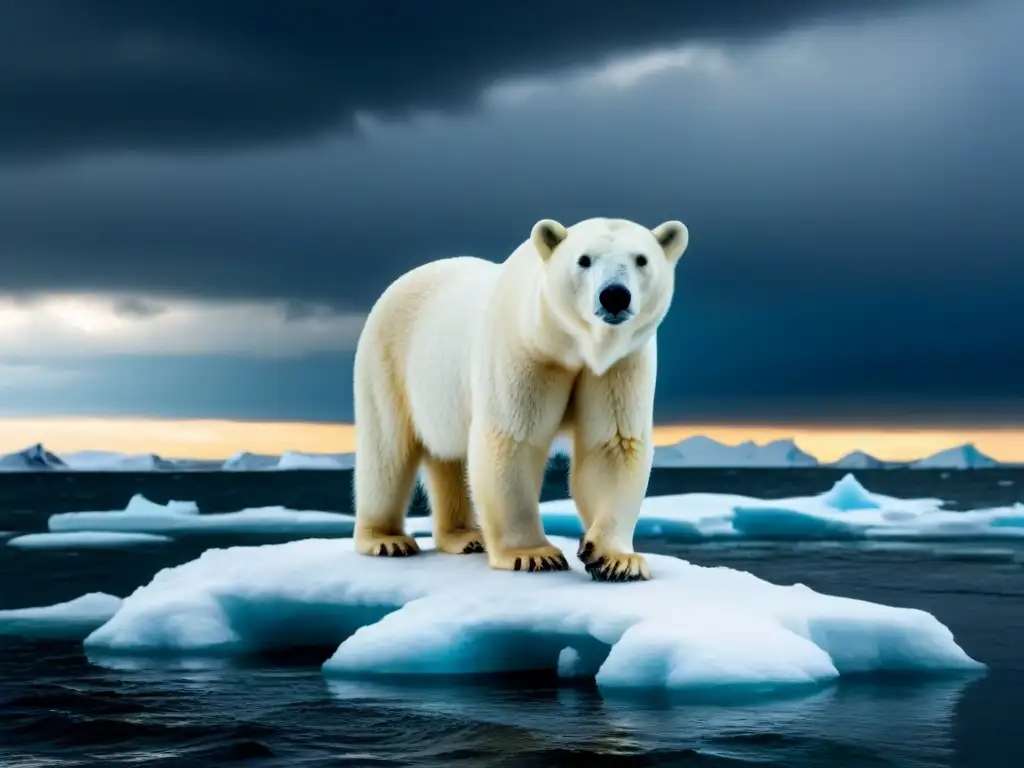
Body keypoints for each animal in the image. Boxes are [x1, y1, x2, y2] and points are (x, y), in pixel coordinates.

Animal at [350, 217, 688, 581]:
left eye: (641, 259)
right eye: (584, 260)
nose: (614, 295)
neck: (569, 344)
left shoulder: (619, 365)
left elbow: (612, 443)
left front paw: (615, 558)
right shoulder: (525, 351)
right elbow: (513, 440)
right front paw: (533, 555)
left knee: (448, 458)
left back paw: (464, 537)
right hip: (388, 359)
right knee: (387, 451)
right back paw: (386, 539)